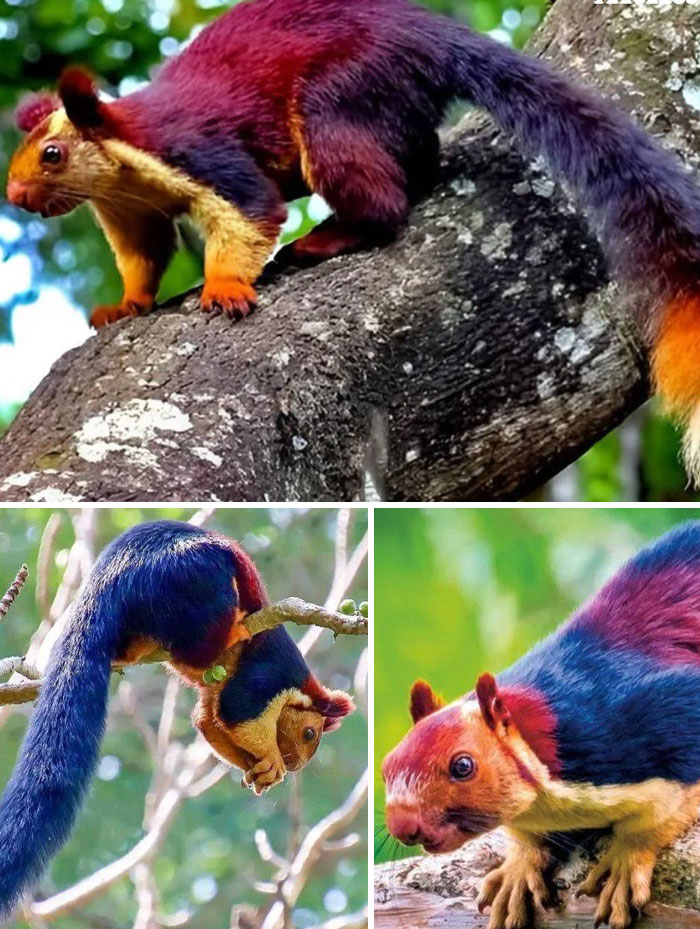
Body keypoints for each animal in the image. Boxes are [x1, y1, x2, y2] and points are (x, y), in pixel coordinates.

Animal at [0, 519, 353, 919]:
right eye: (309, 733)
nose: (296, 766)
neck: (300, 690)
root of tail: (113, 573)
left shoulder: (218, 696)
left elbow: (207, 721)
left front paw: (258, 769)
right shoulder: (269, 677)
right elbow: (238, 712)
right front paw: (272, 763)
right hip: (197, 582)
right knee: (205, 638)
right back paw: (234, 629)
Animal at [7, 1, 700, 476]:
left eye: (51, 154)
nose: (13, 195)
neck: (128, 164)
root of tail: (427, 33)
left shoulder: (203, 157)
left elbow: (250, 214)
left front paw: (225, 287)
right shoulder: (131, 211)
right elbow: (144, 257)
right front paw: (125, 304)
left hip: (339, 98)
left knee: (382, 199)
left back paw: (326, 239)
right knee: (416, 161)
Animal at [382, 522, 700, 929]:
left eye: (463, 766)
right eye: (387, 767)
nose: (403, 827)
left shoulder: (641, 721)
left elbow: (659, 812)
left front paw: (627, 860)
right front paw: (519, 868)